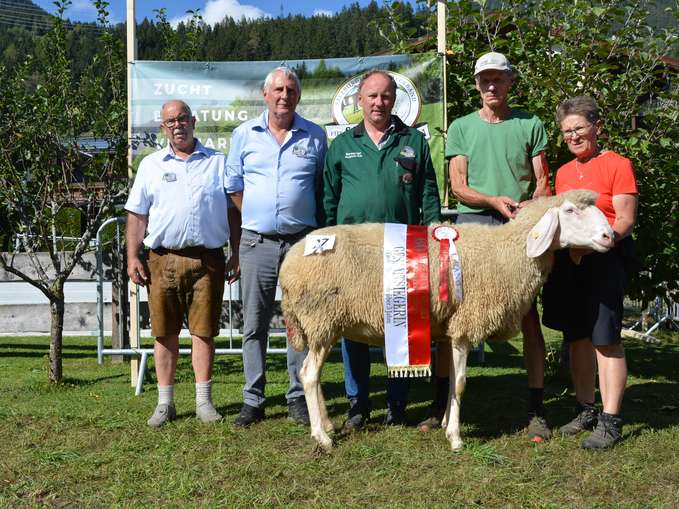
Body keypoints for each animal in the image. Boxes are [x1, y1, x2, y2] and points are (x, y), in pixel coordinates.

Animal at [278, 190, 620, 448]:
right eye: (571, 210)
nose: (610, 236)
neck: (508, 252)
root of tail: (290, 260)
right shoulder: (465, 326)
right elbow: (460, 383)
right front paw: (455, 437)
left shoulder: (451, 329)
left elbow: (453, 379)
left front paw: (444, 423)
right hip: (320, 320)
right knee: (308, 375)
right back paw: (322, 438)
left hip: (324, 326)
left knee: (313, 376)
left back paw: (327, 426)